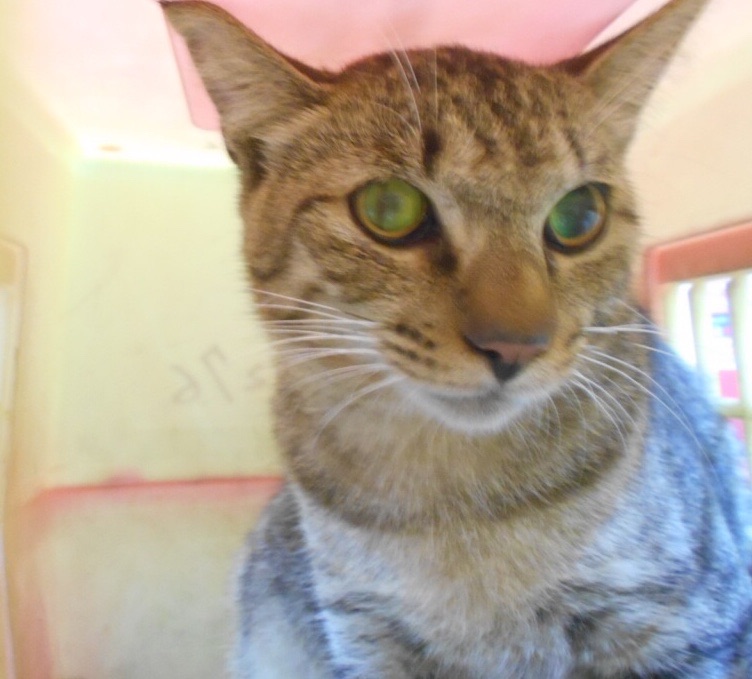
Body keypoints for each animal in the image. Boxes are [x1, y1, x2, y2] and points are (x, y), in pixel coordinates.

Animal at [162, 0, 752, 676]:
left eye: (580, 216)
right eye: (389, 208)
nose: (516, 345)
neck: (454, 506)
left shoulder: (682, 624)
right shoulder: (364, 631)